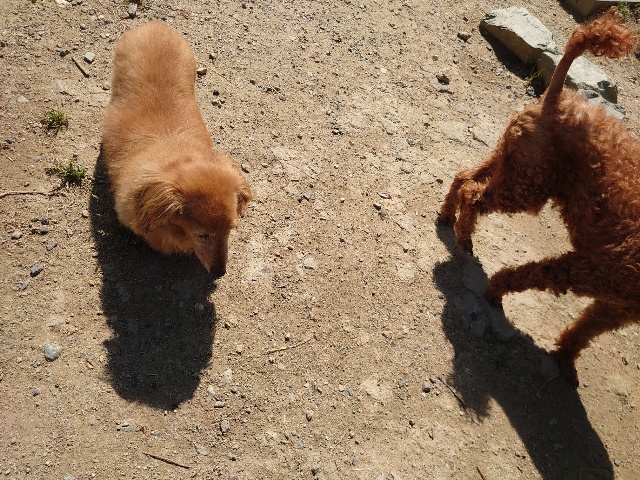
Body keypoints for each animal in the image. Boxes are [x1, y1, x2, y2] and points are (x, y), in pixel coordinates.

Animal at [439, 8, 639, 388]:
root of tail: (556, 96)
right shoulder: (591, 268)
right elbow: (533, 275)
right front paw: (495, 292)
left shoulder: (620, 304)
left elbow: (586, 330)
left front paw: (566, 360)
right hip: (527, 187)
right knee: (474, 193)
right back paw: (465, 236)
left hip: (515, 162)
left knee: (465, 176)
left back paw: (446, 216)